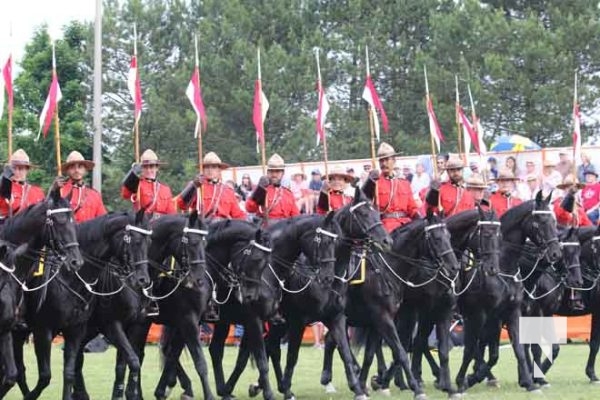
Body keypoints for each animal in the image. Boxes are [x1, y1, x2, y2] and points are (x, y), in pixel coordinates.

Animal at [9, 211, 150, 398]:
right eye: (135, 241)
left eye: (148, 243)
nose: (143, 280)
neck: (71, 276)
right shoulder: (44, 330)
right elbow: (46, 375)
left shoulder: (81, 329)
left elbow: (130, 361)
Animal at [322, 211, 458, 398]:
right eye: (437, 238)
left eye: (449, 236)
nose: (454, 266)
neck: (386, 270)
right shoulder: (386, 319)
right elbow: (401, 350)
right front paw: (416, 387)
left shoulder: (378, 322)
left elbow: (370, 355)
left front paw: (365, 384)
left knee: (331, 340)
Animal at [454, 191, 564, 394]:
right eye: (539, 222)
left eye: (554, 221)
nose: (555, 254)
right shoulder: (486, 316)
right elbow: (484, 351)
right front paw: (468, 379)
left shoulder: (515, 313)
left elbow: (519, 348)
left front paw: (529, 381)